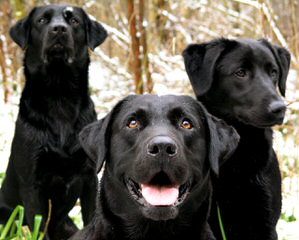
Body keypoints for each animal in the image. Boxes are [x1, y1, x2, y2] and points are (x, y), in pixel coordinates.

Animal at [0, 4, 108, 240]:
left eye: (74, 20)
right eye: (42, 20)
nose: (59, 29)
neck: (60, 94)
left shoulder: (90, 179)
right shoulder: (32, 184)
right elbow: (39, 228)